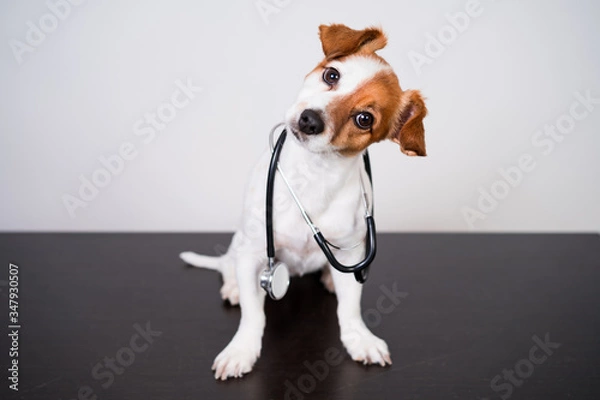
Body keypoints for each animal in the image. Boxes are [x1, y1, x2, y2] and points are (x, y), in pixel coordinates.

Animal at [180, 23, 428, 380]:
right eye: (331, 75)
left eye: (364, 119)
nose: (311, 119)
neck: (314, 175)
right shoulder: (254, 252)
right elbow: (254, 315)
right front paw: (242, 349)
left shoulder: (352, 253)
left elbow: (350, 308)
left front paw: (359, 338)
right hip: (240, 243)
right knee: (229, 265)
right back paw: (234, 288)